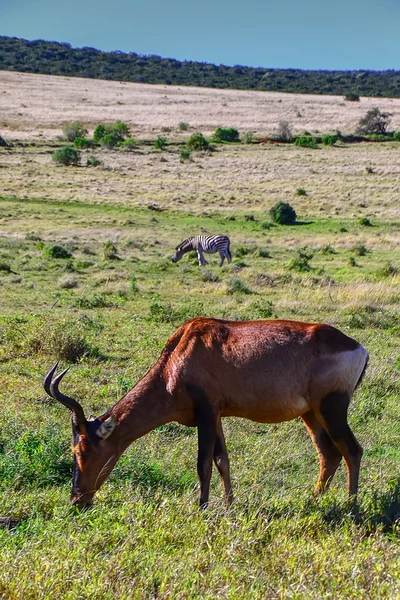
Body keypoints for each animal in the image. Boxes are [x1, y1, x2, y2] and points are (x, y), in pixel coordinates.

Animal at [44, 318, 368, 506]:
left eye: (81, 449)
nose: (77, 500)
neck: (183, 348)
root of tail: (358, 348)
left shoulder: (206, 413)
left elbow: (203, 464)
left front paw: (202, 508)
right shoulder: (217, 416)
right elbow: (222, 460)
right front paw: (229, 505)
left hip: (332, 408)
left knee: (352, 450)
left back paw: (351, 507)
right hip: (311, 413)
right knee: (329, 454)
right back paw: (312, 503)